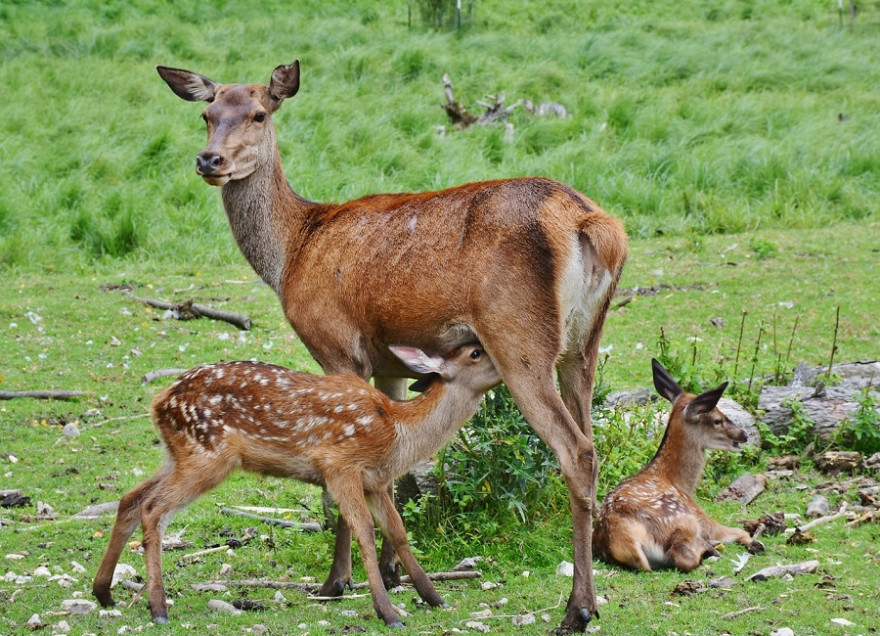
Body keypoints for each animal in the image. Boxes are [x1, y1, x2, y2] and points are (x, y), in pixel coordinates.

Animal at [93, 342, 502, 628]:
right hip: (207, 455)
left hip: (179, 454)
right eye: (476, 352)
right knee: (153, 509)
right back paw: (157, 607)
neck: (399, 433)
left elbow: (398, 532)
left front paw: (434, 598)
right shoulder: (339, 465)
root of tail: (159, 401)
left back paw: (104, 593)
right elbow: (365, 532)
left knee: (130, 499)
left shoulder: (375, 481)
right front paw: (388, 613)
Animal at [156, 60, 624, 632]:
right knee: (590, 440)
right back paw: (592, 597)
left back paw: (576, 608)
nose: (210, 160)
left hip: (520, 340)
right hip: (583, 345)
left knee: (575, 450)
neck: (292, 253)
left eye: (259, 113)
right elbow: (394, 471)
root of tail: (591, 224)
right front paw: (392, 573)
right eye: (207, 114)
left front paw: (336, 581)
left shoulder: (337, 345)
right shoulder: (389, 363)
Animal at [592, 360, 764, 572]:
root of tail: (624, 541)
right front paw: (754, 541)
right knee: (684, 557)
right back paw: (711, 548)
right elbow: (740, 532)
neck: (679, 483)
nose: (743, 435)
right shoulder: (701, 517)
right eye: (717, 420)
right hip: (684, 521)